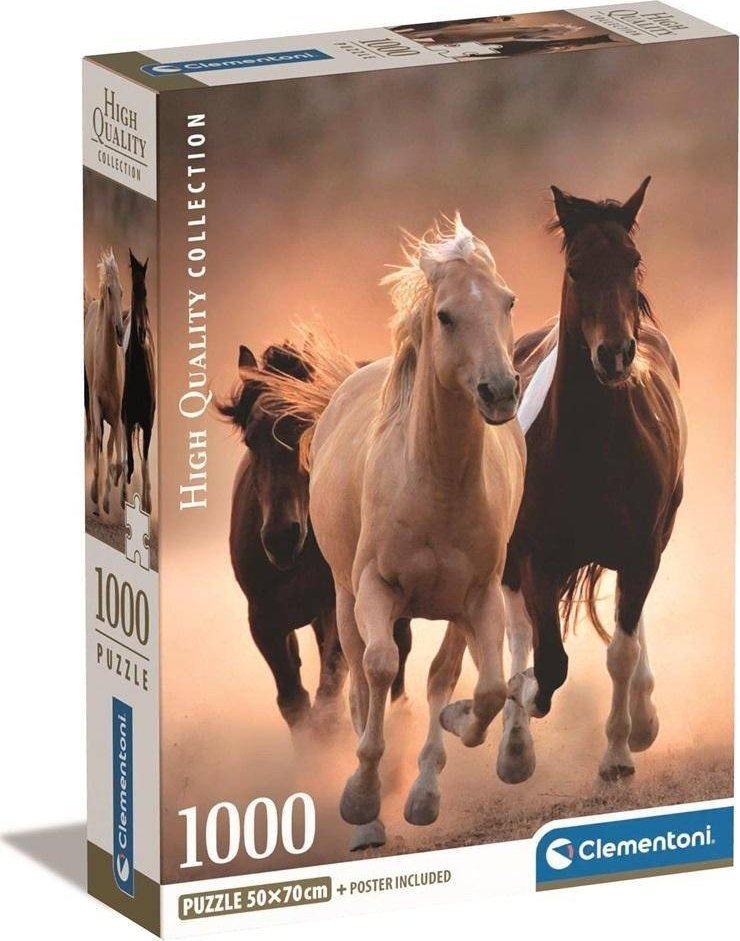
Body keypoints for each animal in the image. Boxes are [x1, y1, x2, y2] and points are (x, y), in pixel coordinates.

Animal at [219, 342, 412, 741]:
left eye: (308, 428)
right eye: (251, 439)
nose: (281, 537)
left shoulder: (336, 607)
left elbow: (327, 698)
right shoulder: (264, 620)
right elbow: (294, 702)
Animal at [256, 217, 525, 849]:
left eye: (507, 301)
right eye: (446, 315)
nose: (501, 391)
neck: (435, 483)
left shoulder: (478, 597)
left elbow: (479, 687)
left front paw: (441, 760)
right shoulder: (374, 590)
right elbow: (377, 671)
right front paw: (361, 799)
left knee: (441, 676)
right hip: (343, 597)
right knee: (359, 680)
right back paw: (369, 817)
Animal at [498, 178, 686, 785]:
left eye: (633, 260)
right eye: (577, 268)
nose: (614, 354)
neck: (591, 449)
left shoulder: (641, 550)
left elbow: (619, 652)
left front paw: (619, 753)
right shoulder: (538, 555)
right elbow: (548, 661)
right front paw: (524, 703)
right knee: (517, 630)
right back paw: (514, 746)